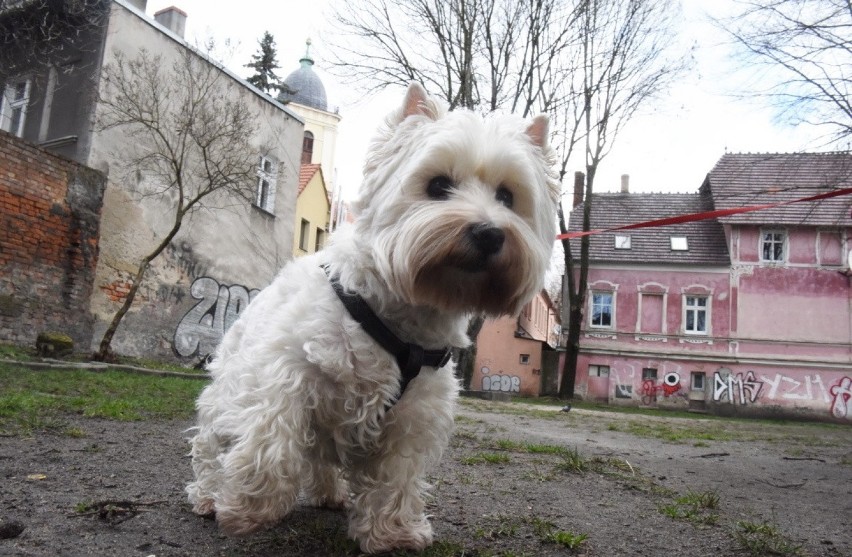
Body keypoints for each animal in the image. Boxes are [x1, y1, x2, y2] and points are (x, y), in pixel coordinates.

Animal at [186, 82, 560, 552]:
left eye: (508, 196)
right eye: (438, 185)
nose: (489, 233)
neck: (399, 316)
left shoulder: (411, 416)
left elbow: (394, 477)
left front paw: (391, 532)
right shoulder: (286, 379)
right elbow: (271, 443)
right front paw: (248, 509)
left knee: (321, 459)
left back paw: (329, 493)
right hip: (227, 394)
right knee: (210, 444)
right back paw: (207, 497)